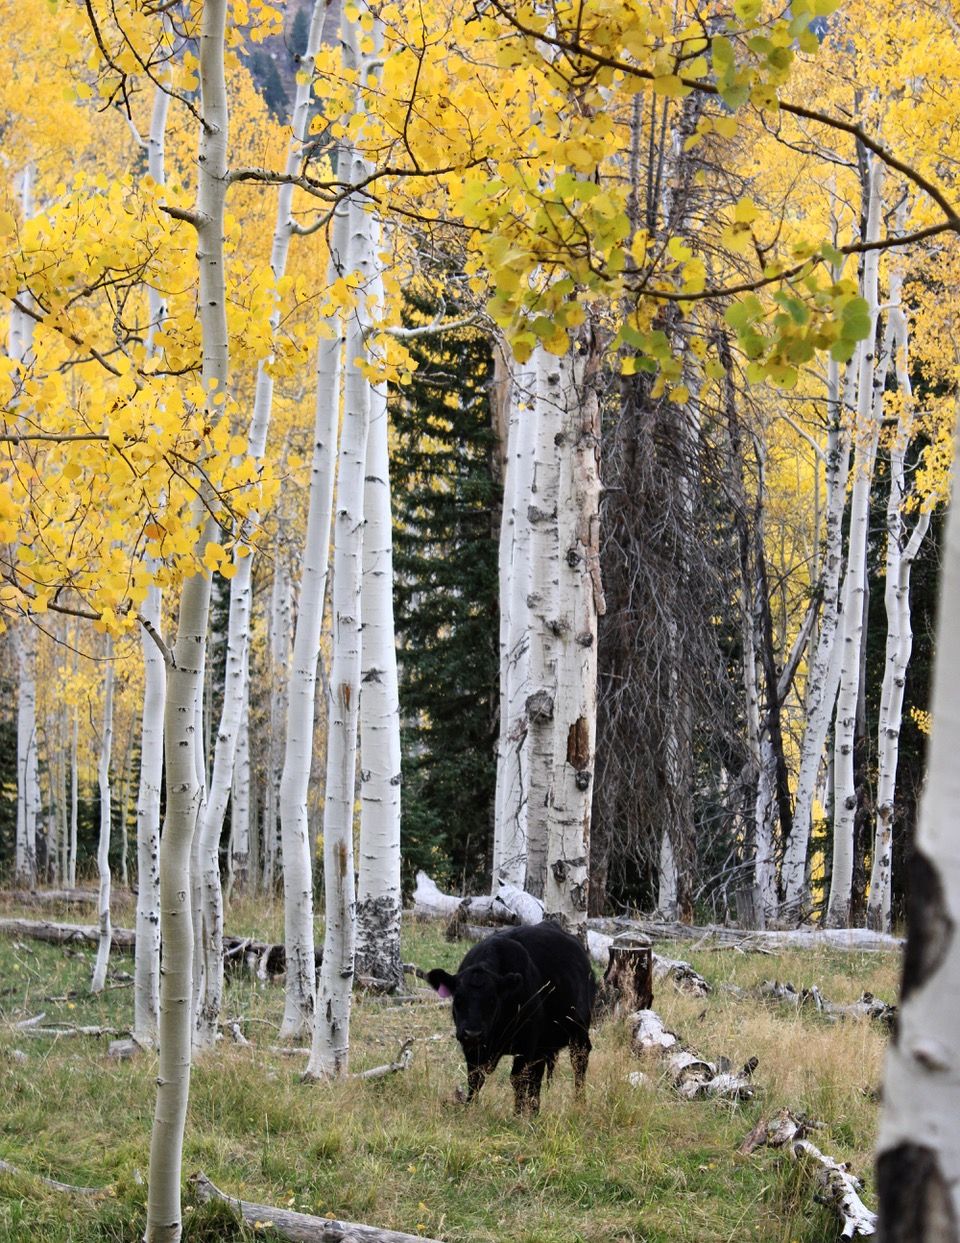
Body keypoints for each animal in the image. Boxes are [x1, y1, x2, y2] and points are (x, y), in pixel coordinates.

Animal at [426, 922, 597, 1113]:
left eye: (492, 1000)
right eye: (458, 998)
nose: (473, 1033)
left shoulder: (526, 1043)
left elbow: (518, 1079)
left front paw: (517, 1115)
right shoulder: (470, 1047)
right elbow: (474, 1078)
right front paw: (469, 1109)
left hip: (579, 1031)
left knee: (579, 1062)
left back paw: (579, 1103)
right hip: (543, 1045)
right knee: (537, 1077)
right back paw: (535, 1112)